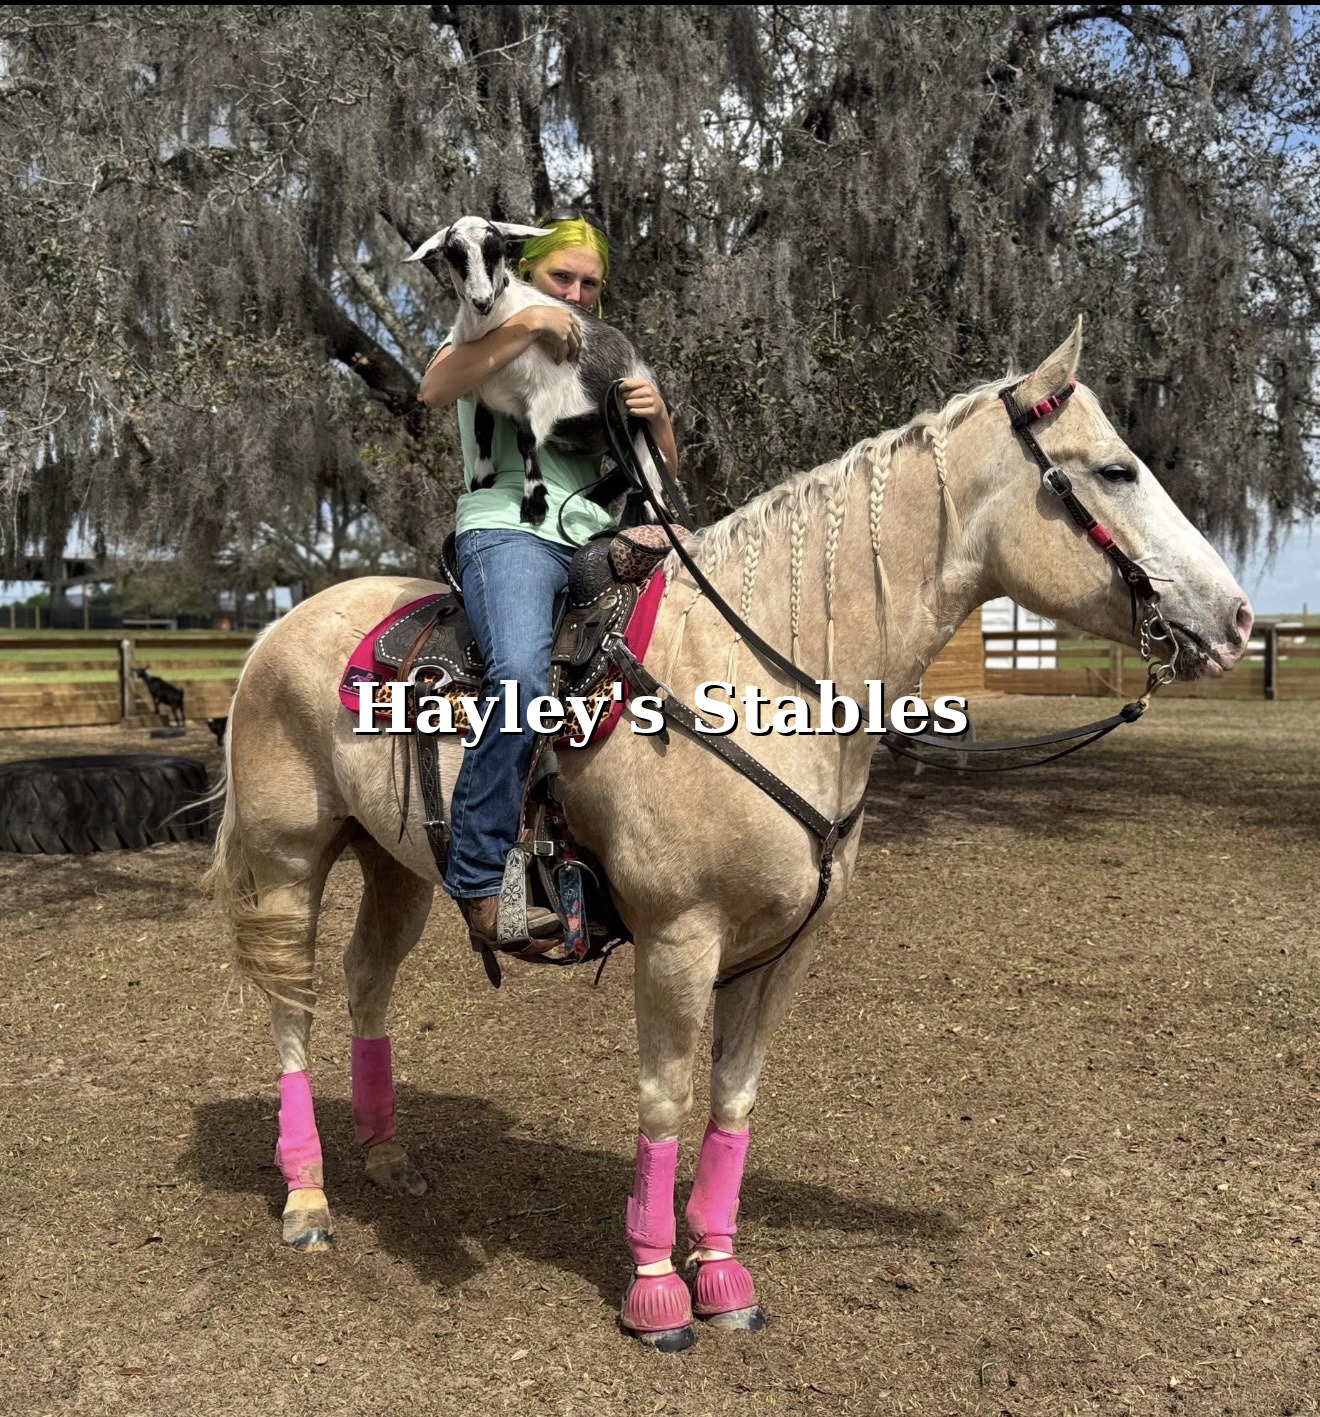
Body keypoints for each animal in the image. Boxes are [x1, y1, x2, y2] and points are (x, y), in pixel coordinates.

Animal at [205, 321, 1252, 1350]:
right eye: (1116, 469)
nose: (1238, 618)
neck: (759, 677)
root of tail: (273, 635)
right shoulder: (679, 938)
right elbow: (665, 1099)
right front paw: (657, 1290)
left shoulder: (782, 948)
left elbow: (733, 1104)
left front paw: (721, 1273)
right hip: (288, 860)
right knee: (291, 1006)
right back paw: (307, 1199)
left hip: (395, 865)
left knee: (365, 983)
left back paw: (387, 1156)